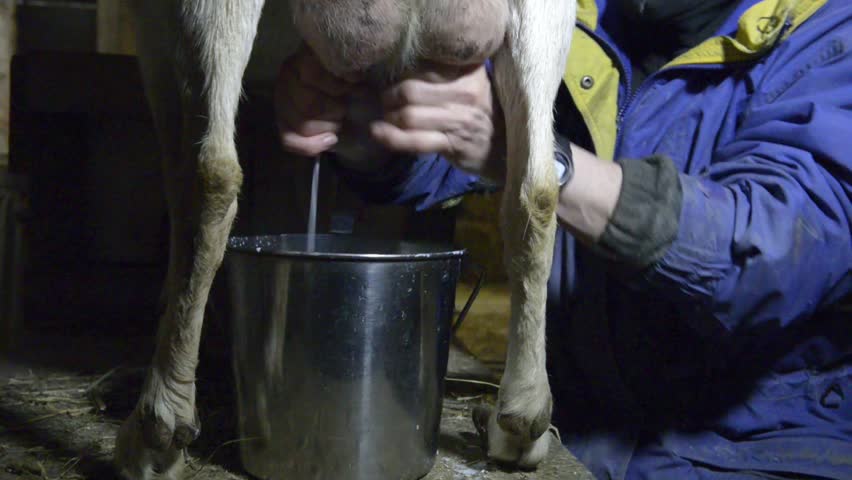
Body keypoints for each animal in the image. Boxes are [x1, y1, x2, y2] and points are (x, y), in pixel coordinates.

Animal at [113, 1, 576, 478]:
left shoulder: (152, 25)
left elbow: (179, 168)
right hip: (545, 19)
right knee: (535, 190)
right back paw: (521, 422)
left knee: (210, 175)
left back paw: (157, 428)